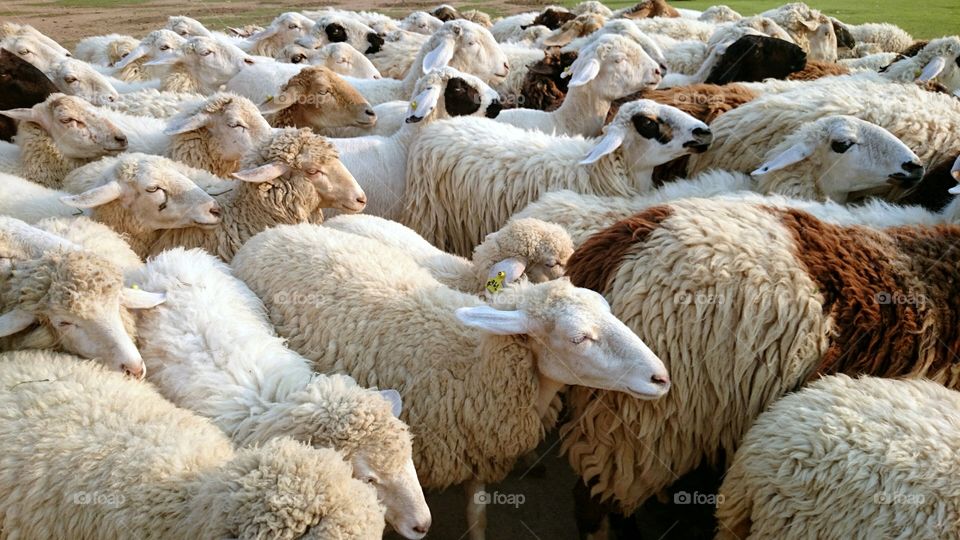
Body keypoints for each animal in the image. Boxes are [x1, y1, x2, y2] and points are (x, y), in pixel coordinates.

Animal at [231, 223, 670, 540]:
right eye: (579, 337)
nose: (661, 377)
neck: (472, 360)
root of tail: (271, 232)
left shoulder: (475, 448)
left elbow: (477, 515)